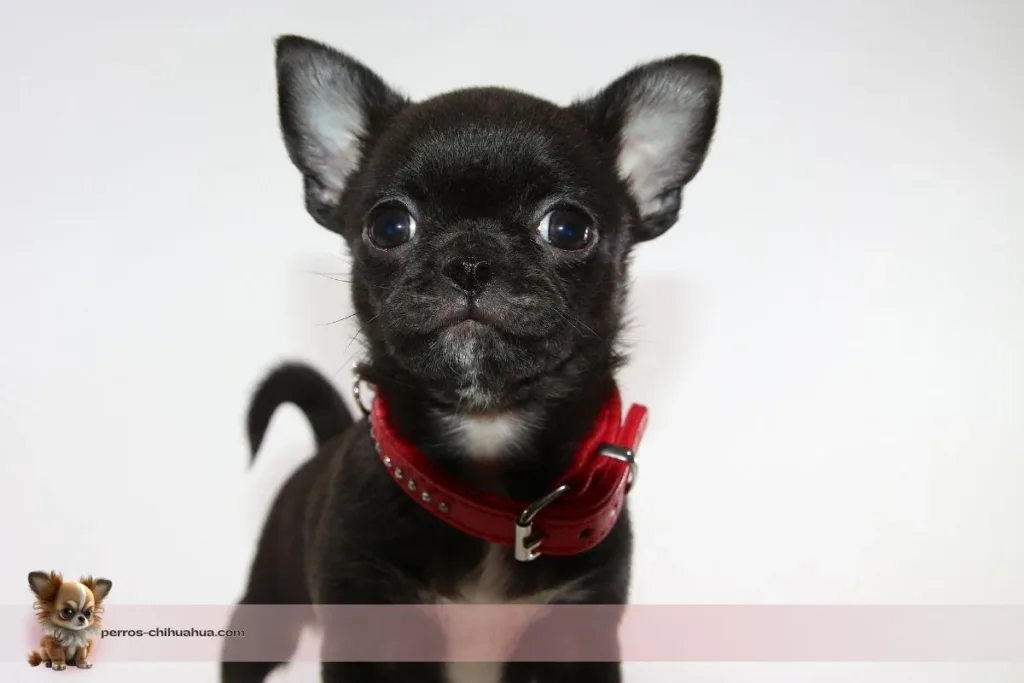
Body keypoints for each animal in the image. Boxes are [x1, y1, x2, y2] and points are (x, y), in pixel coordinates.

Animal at [224, 36, 720, 683]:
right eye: (389, 225)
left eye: (568, 228)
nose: (470, 261)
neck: (486, 431)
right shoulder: (368, 631)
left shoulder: (576, 637)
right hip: (266, 609)